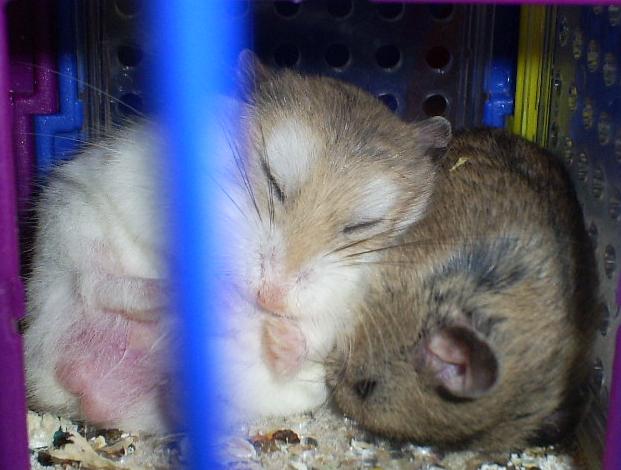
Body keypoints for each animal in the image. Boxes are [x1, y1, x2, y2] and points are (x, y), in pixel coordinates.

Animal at [24, 52, 451, 432]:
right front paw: (230, 296)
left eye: (362, 226)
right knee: (99, 284)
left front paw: (279, 335)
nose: (270, 299)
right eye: (273, 180)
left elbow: (314, 334)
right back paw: (202, 301)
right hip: (71, 223)